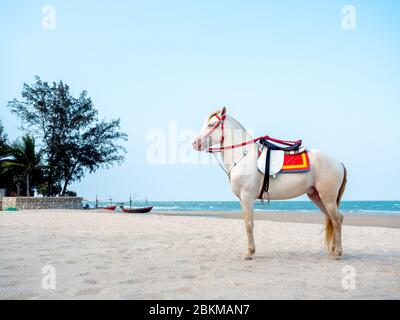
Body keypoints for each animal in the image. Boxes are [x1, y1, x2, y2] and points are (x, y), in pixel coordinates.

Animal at [192, 107, 346, 260]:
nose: (195, 143)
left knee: (337, 220)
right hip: (316, 196)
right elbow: (246, 222)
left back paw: (338, 252)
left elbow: (249, 224)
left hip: (328, 198)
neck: (243, 156)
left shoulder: (247, 197)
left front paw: (249, 252)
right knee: (332, 219)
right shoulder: (242, 199)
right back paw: (333, 250)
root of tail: (339, 162)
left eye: (211, 125)